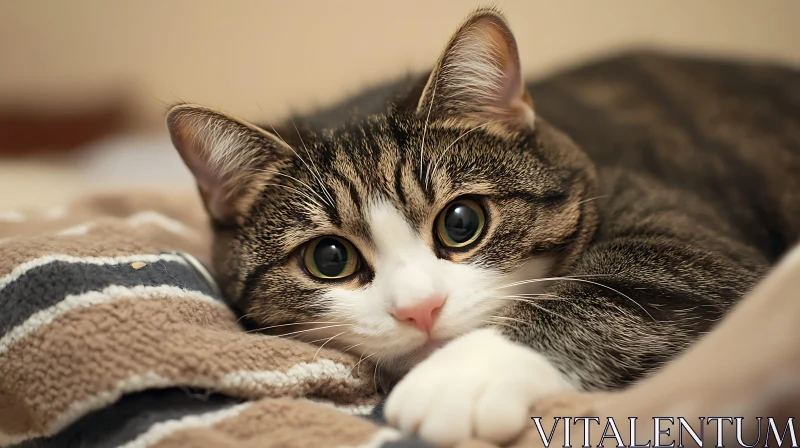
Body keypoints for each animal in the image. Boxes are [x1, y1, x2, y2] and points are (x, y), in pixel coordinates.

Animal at [166, 7, 796, 448]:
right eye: (329, 259)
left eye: (462, 223)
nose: (419, 309)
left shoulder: (689, 236)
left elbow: (629, 285)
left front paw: (460, 378)